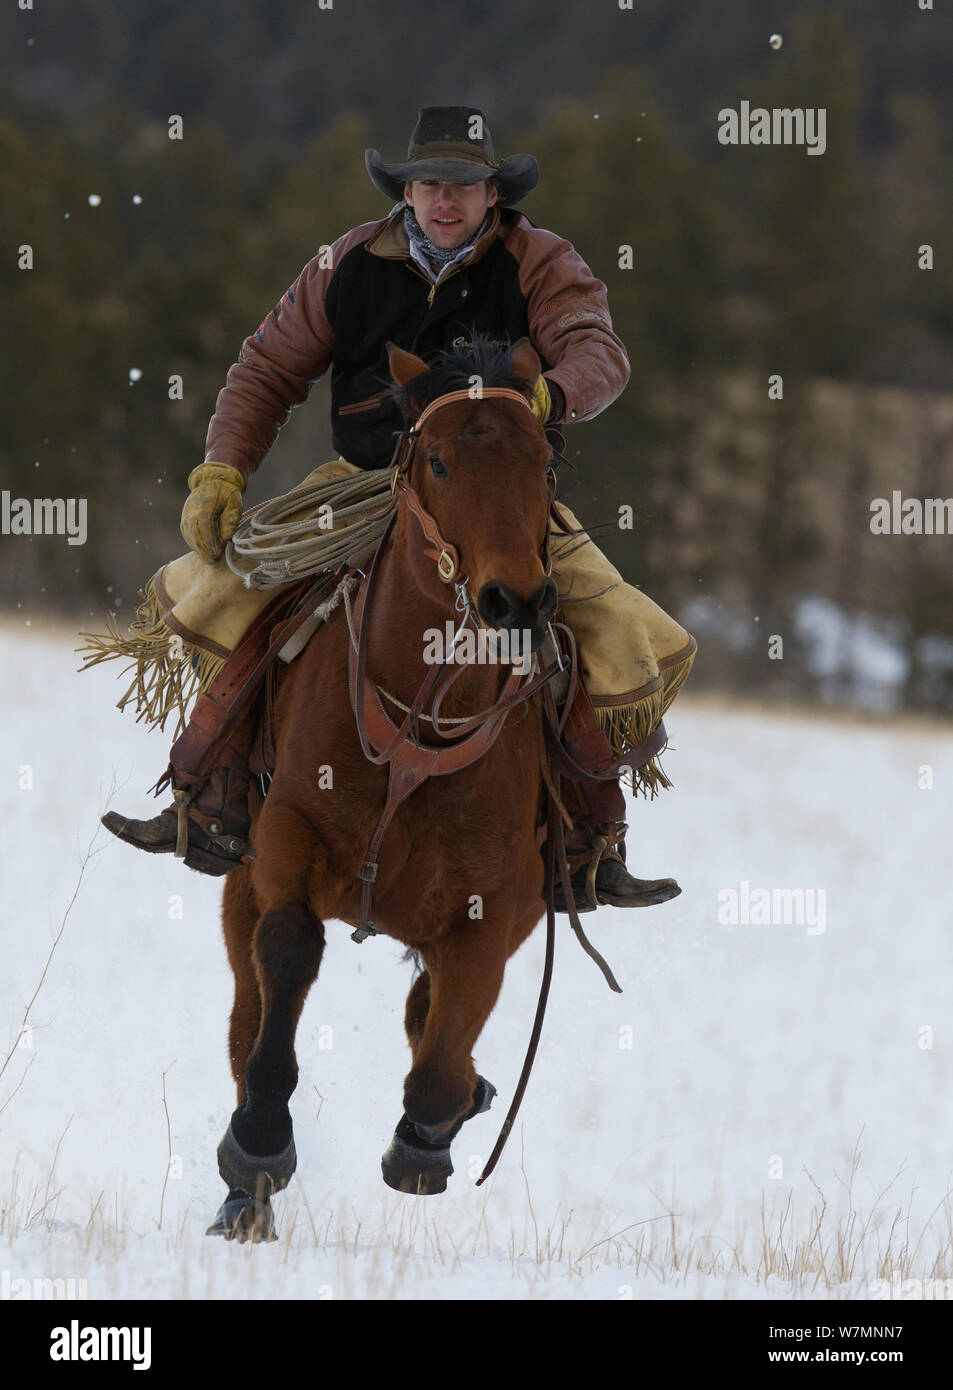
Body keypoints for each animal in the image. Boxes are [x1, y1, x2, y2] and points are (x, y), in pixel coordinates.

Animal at [208, 333, 566, 1239]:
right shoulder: (285, 840)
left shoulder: (498, 908)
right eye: (437, 461)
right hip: (238, 885)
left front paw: (428, 1137)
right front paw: (258, 1141)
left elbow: (445, 1043)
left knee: (427, 1014)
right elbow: (289, 951)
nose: (513, 598)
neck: (415, 728)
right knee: (245, 1014)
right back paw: (243, 1201)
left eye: (544, 463)